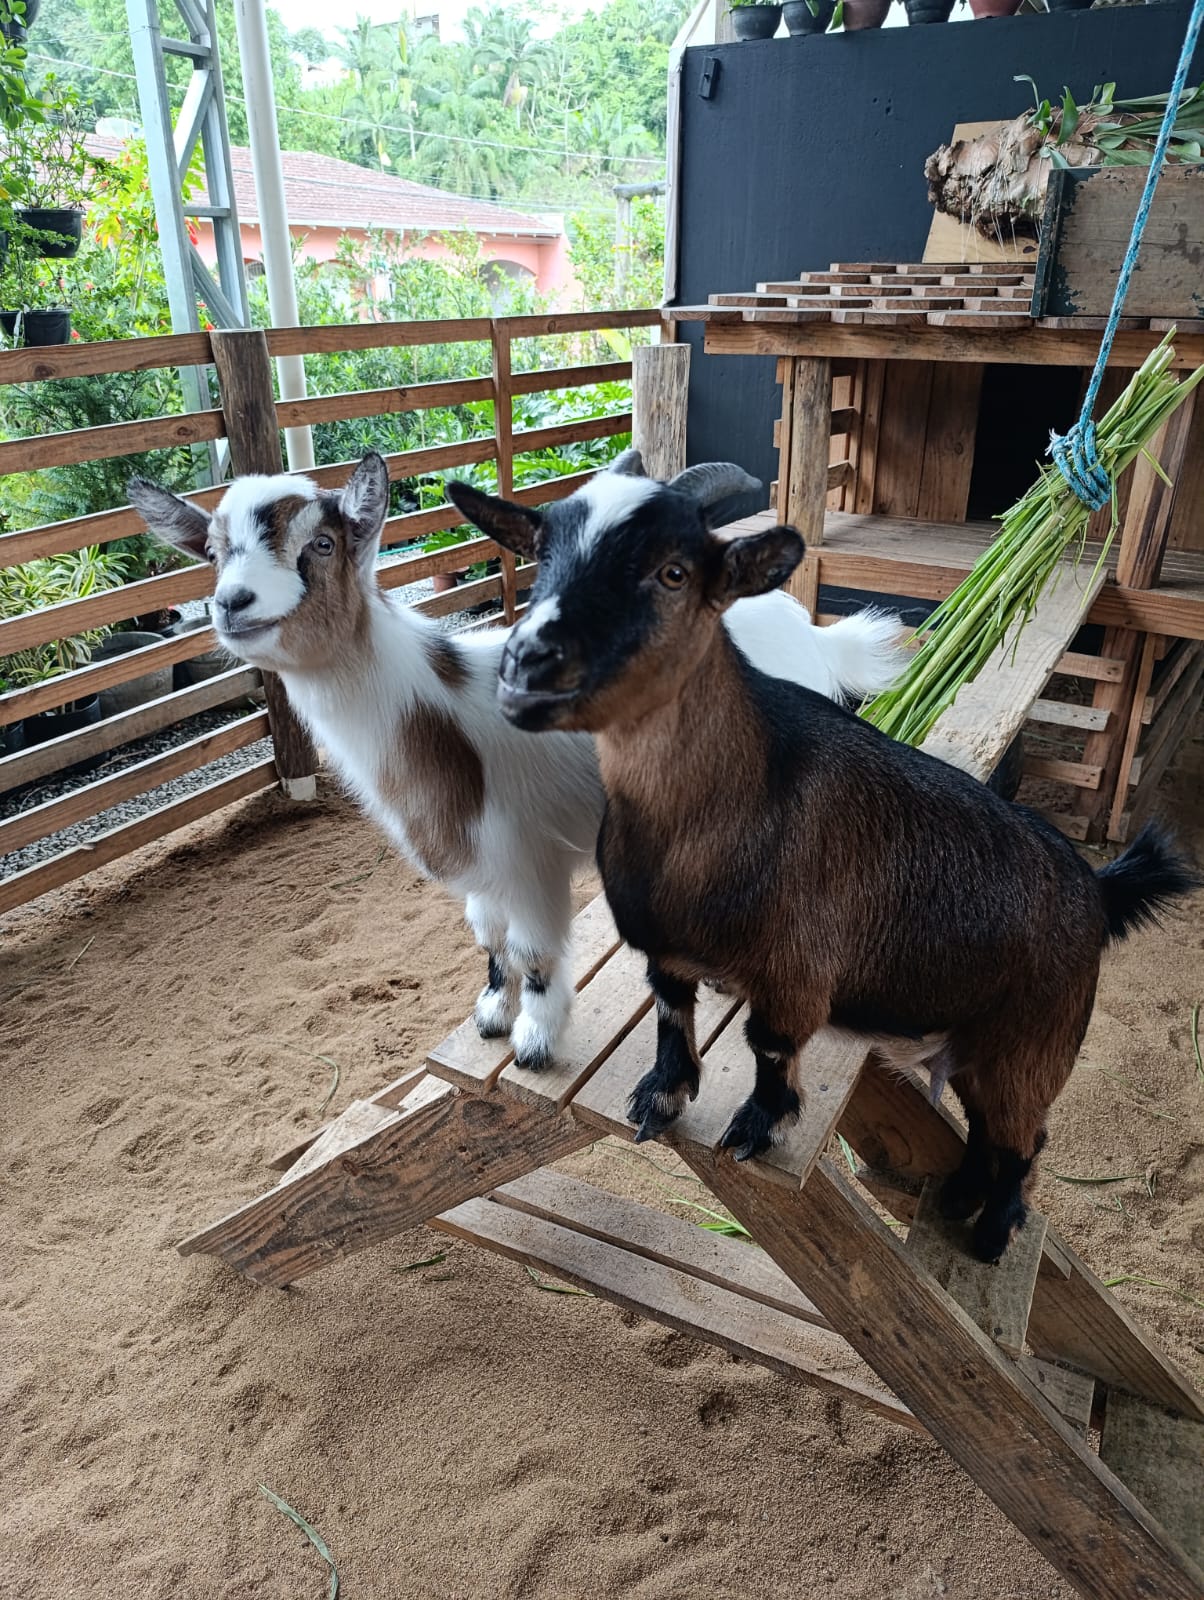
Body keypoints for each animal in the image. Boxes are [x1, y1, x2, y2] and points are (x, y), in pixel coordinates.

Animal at [128, 451, 905, 1074]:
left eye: (320, 543)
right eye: (212, 553)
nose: (232, 604)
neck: (437, 719)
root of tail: (810, 630)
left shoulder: (528, 858)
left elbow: (532, 953)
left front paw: (535, 1041)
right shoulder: (481, 864)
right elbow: (491, 940)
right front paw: (492, 1015)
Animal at [448, 459, 1199, 1262]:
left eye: (674, 572)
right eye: (541, 557)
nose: (527, 665)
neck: (726, 804)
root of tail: (1096, 889)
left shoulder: (796, 973)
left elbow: (770, 1046)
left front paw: (757, 1126)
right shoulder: (667, 951)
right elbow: (672, 1017)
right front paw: (661, 1096)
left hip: (1036, 1045)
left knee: (1025, 1140)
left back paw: (994, 1233)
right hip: (982, 1042)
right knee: (987, 1131)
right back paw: (959, 1196)